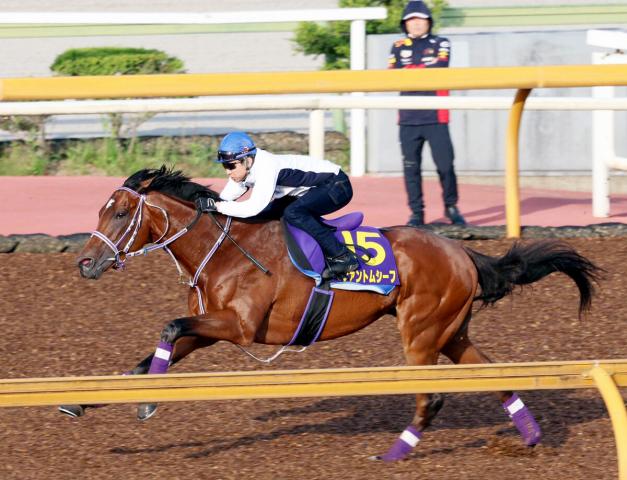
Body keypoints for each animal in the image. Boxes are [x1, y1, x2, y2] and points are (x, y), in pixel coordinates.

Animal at [61, 168, 600, 462]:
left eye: (119, 213)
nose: (84, 263)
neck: (225, 251)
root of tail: (462, 253)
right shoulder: (211, 328)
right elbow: (156, 350)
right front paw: (82, 402)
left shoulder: (239, 328)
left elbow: (169, 328)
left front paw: (147, 405)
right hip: (450, 331)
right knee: (493, 374)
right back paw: (530, 437)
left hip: (421, 333)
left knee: (432, 396)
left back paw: (393, 453)